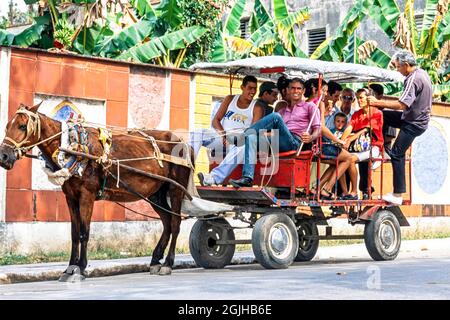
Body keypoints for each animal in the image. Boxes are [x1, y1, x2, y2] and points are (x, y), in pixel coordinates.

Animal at [0, 102, 193, 280]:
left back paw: (168, 263)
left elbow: (85, 231)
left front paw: (81, 267)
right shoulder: (70, 197)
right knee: (167, 223)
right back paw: (155, 260)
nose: (4, 156)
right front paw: (69, 268)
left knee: (175, 223)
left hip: (175, 189)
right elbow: (74, 233)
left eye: (22, 126)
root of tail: (183, 143)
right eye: (7, 126)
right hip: (155, 194)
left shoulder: (87, 195)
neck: (74, 147)